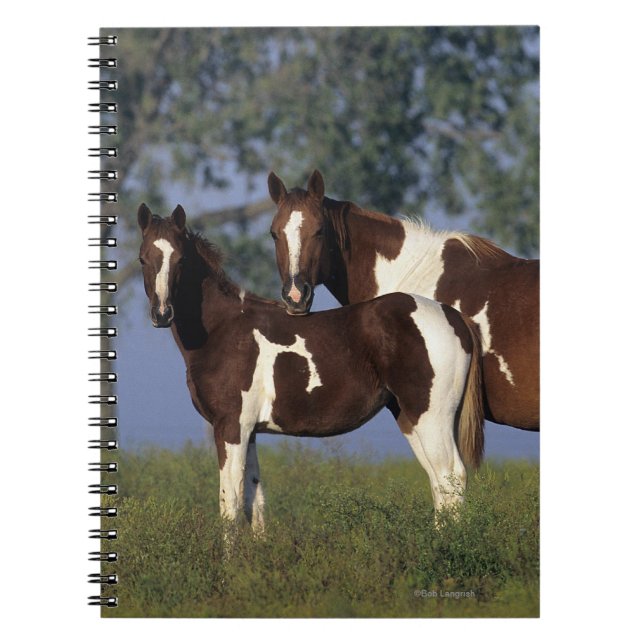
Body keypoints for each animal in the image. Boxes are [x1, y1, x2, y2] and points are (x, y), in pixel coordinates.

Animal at [137, 203, 485, 533]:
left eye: (181, 259)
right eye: (143, 259)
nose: (162, 313)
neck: (223, 328)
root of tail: (454, 317)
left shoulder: (230, 427)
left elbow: (230, 505)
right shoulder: (249, 431)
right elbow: (254, 503)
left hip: (432, 417)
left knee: (451, 476)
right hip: (412, 418)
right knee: (439, 483)